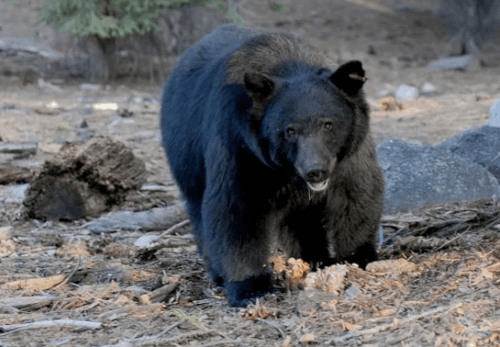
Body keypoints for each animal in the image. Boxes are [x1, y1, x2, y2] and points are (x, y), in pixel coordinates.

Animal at [160, 23, 382, 308]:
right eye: (290, 131)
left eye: (328, 124)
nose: (315, 171)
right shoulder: (240, 146)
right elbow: (237, 208)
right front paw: (251, 288)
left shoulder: (349, 155)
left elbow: (355, 195)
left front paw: (358, 258)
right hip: (186, 157)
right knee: (199, 211)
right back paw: (217, 272)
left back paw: (313, 258)